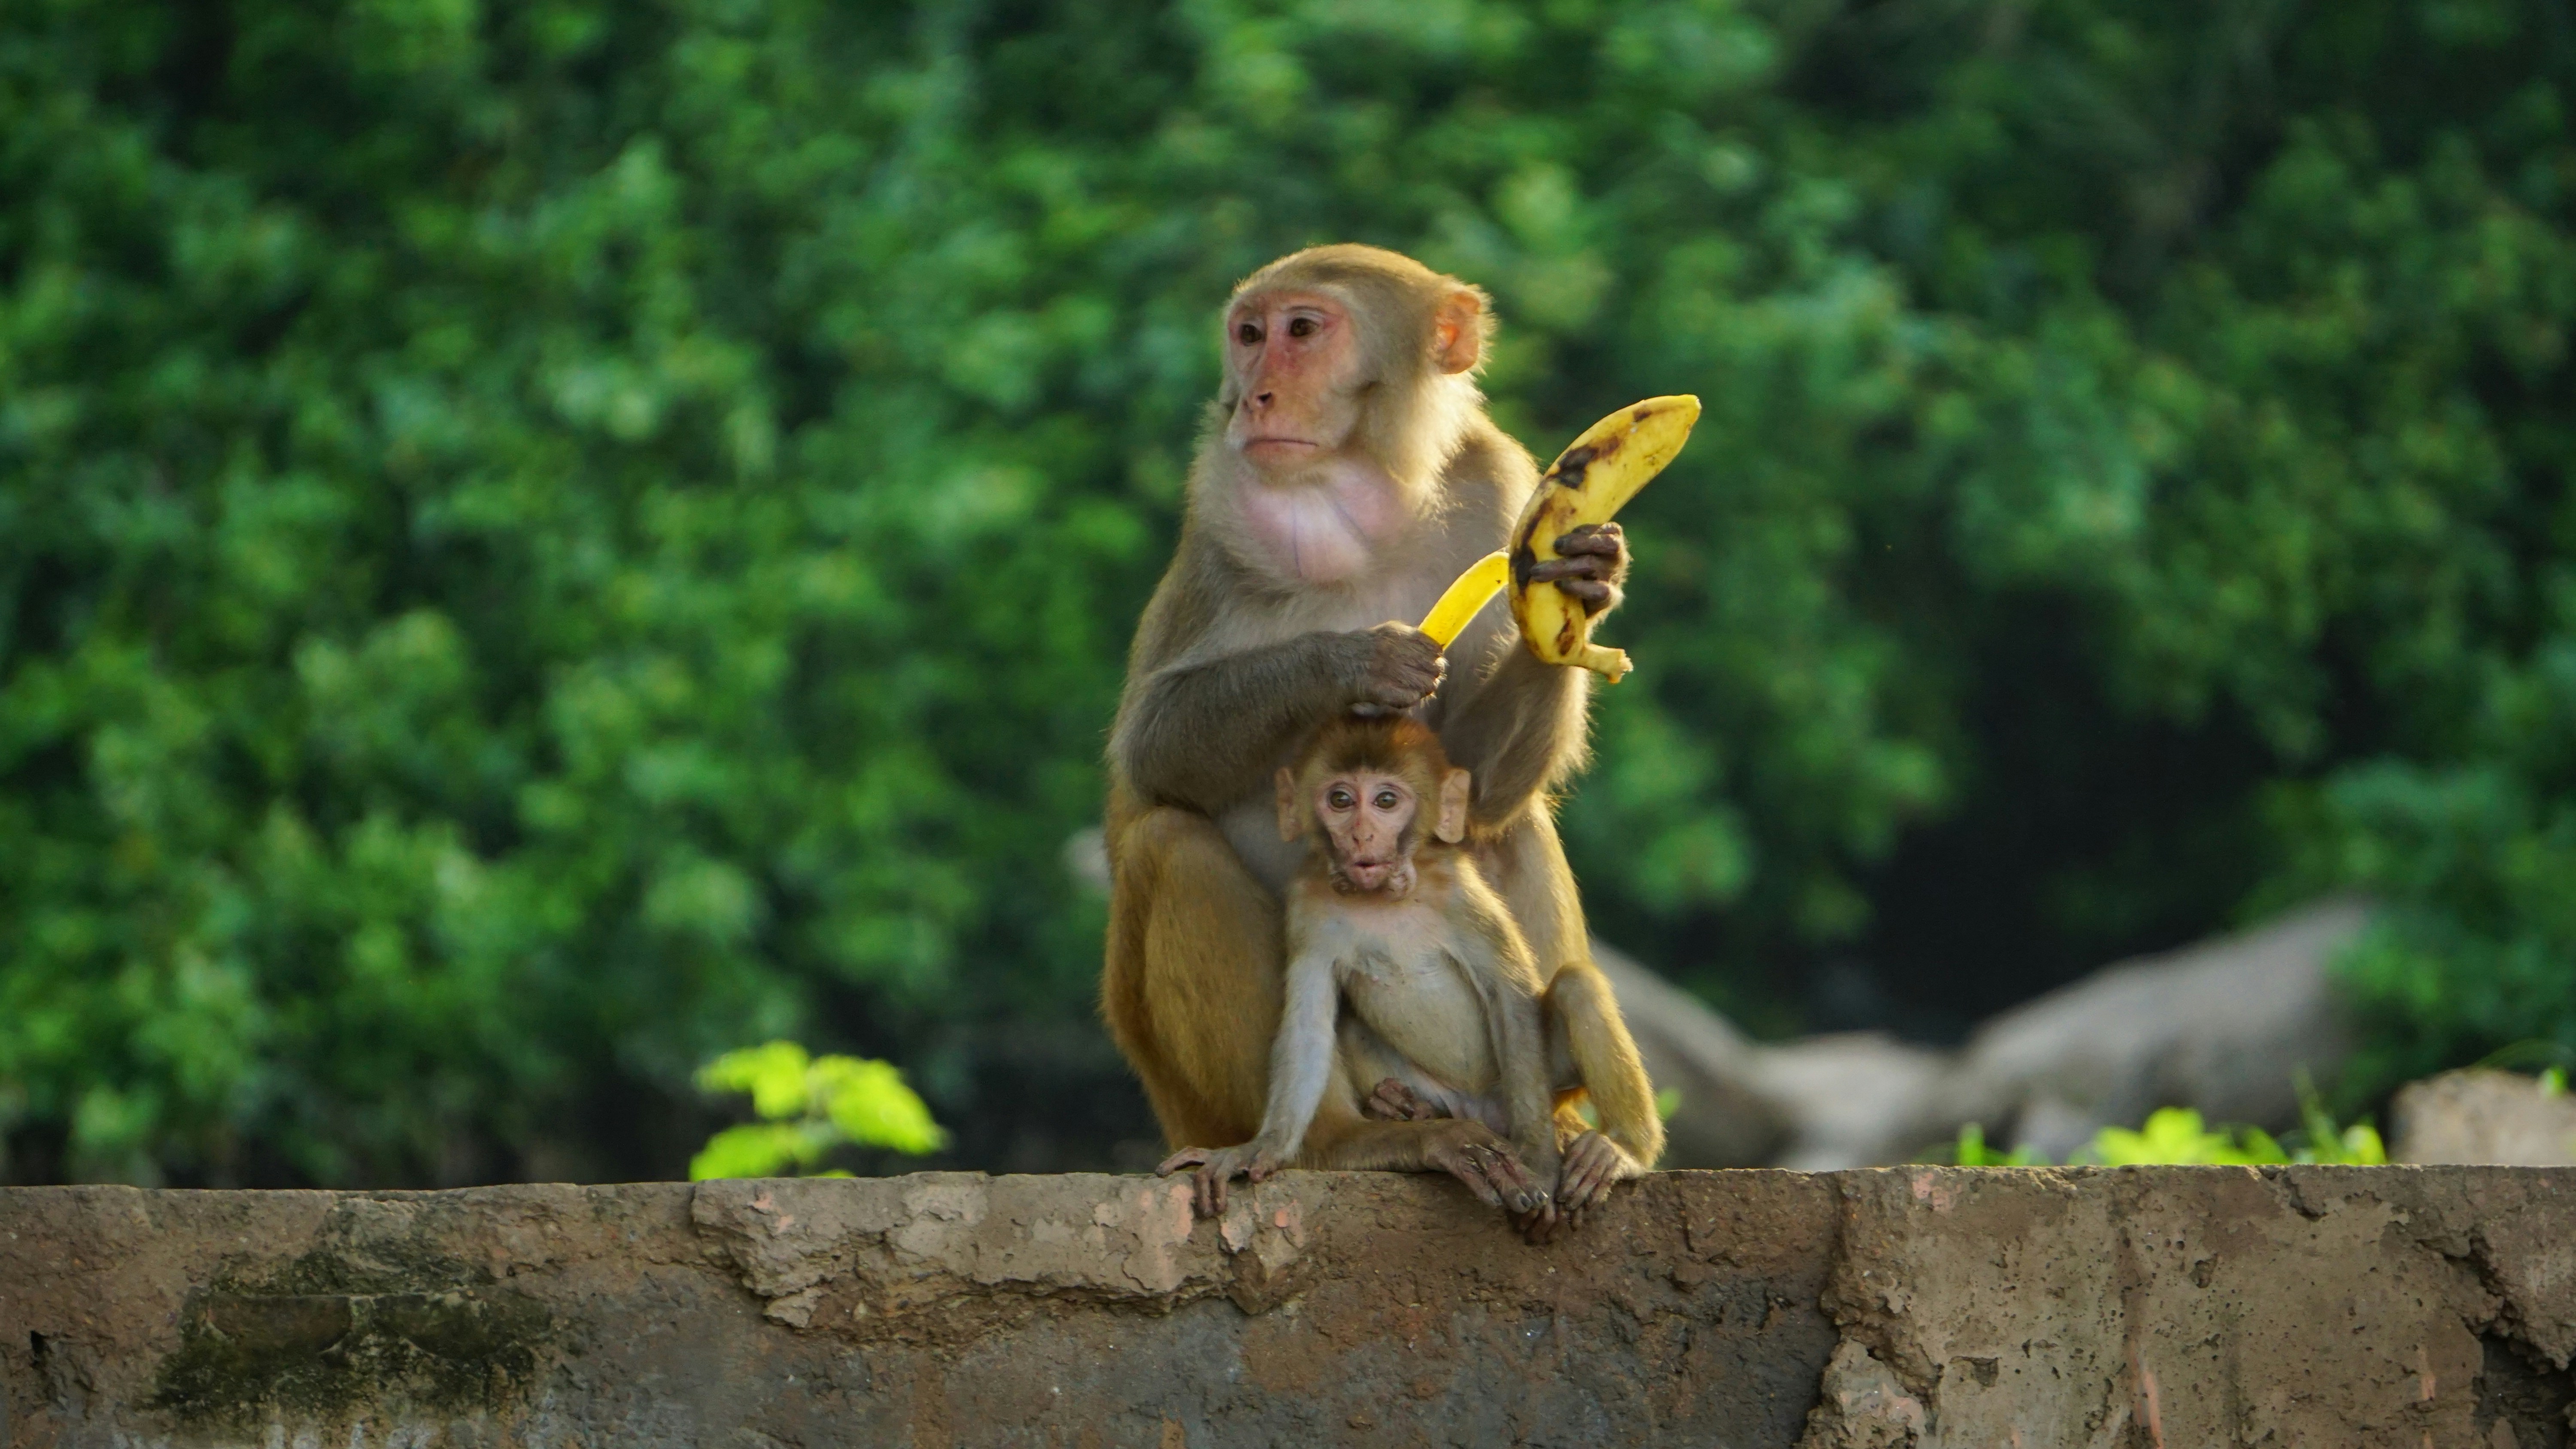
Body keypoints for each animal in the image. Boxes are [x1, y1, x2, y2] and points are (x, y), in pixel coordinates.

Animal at [1159, 716, 1562, 1226]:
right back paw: (1409, 1112)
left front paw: (1538, 1160)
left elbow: (1508, 993)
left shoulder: (1458, 893)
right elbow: (1309, 1026)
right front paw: (1262, 1147)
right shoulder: (1309, 907)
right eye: (1341, 800)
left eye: (1386, 801)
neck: (1381, 900)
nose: (1361, 836)